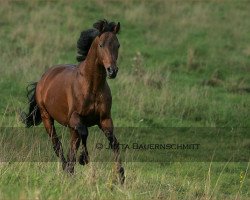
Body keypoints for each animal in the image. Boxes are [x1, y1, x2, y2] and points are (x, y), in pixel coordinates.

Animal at [21, 19, 124, 184]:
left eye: (117, 45)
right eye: (101, 45)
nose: (112, 71)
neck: (92, 86)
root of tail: (43, 78)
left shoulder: (105, 119)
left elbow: (113, 142)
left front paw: (121, 176)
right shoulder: (75, 118)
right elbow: (85, 133)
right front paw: (83, 158)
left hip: (70, 127)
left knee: (71, 147)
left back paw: (70, 170)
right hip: (47, 118)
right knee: (58, 145)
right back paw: (67, 169)